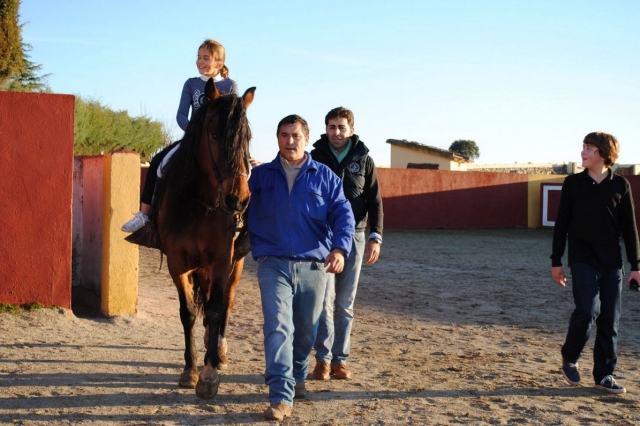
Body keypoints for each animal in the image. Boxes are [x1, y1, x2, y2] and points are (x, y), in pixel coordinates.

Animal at [155, 79, 255, 400]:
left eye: (247, 137)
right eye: (213, 134)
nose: (238, 199)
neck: (203, 205)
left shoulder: (223, 261)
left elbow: (214, 310)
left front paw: (210, 374)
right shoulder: (178, 264)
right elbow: (188, 312)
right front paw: (190, 370)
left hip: (236, 265)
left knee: (226, 304)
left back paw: (219, 352)